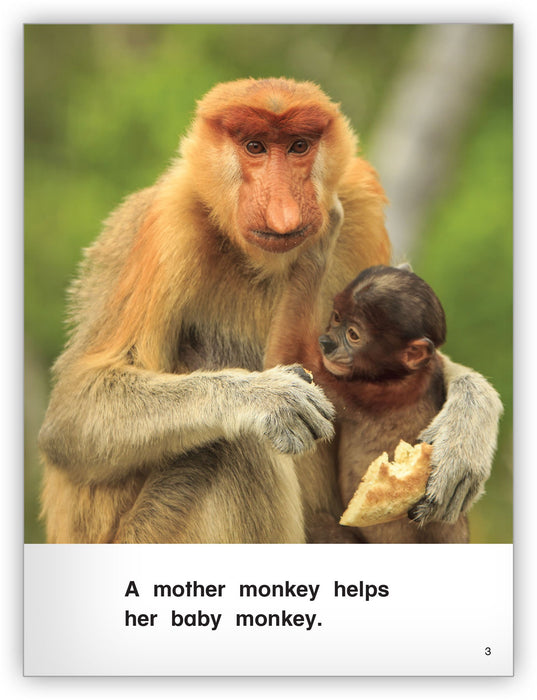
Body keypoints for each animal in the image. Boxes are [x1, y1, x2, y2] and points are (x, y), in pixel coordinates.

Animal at [267, 260, 469, 543]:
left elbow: (289, 355)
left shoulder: (364, 392)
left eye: (353, 335)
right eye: (337, 317)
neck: (407, 374)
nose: (327, 343)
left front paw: (313, 257)